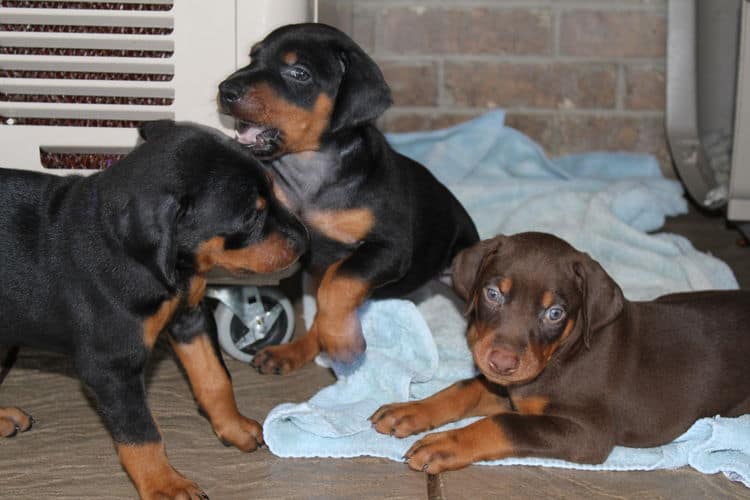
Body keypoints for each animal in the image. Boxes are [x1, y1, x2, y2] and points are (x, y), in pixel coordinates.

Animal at [0, 119, 308, 498]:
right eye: (252, 214)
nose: (305, 241)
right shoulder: (111, 366)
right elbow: (141, 434)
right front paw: (165, 484)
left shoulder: (190, 318)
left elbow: (215, 378)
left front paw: (233, 427)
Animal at [217, 23, 478, 376]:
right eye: (252, 57)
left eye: (299, 73)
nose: (225, 90)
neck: (311, 172)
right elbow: (326, 295)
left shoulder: (389, 249)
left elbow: (339, 282)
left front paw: (342, 341)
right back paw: (292, 352)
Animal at [372, 232, 750, 474]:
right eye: (493, 294)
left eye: (554, 313)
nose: (502, 363)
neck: (563, 355)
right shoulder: (512, 390)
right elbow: (465, 388)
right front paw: (410, 410)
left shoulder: (588, 432)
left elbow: (503, 423)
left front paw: (445, 443)